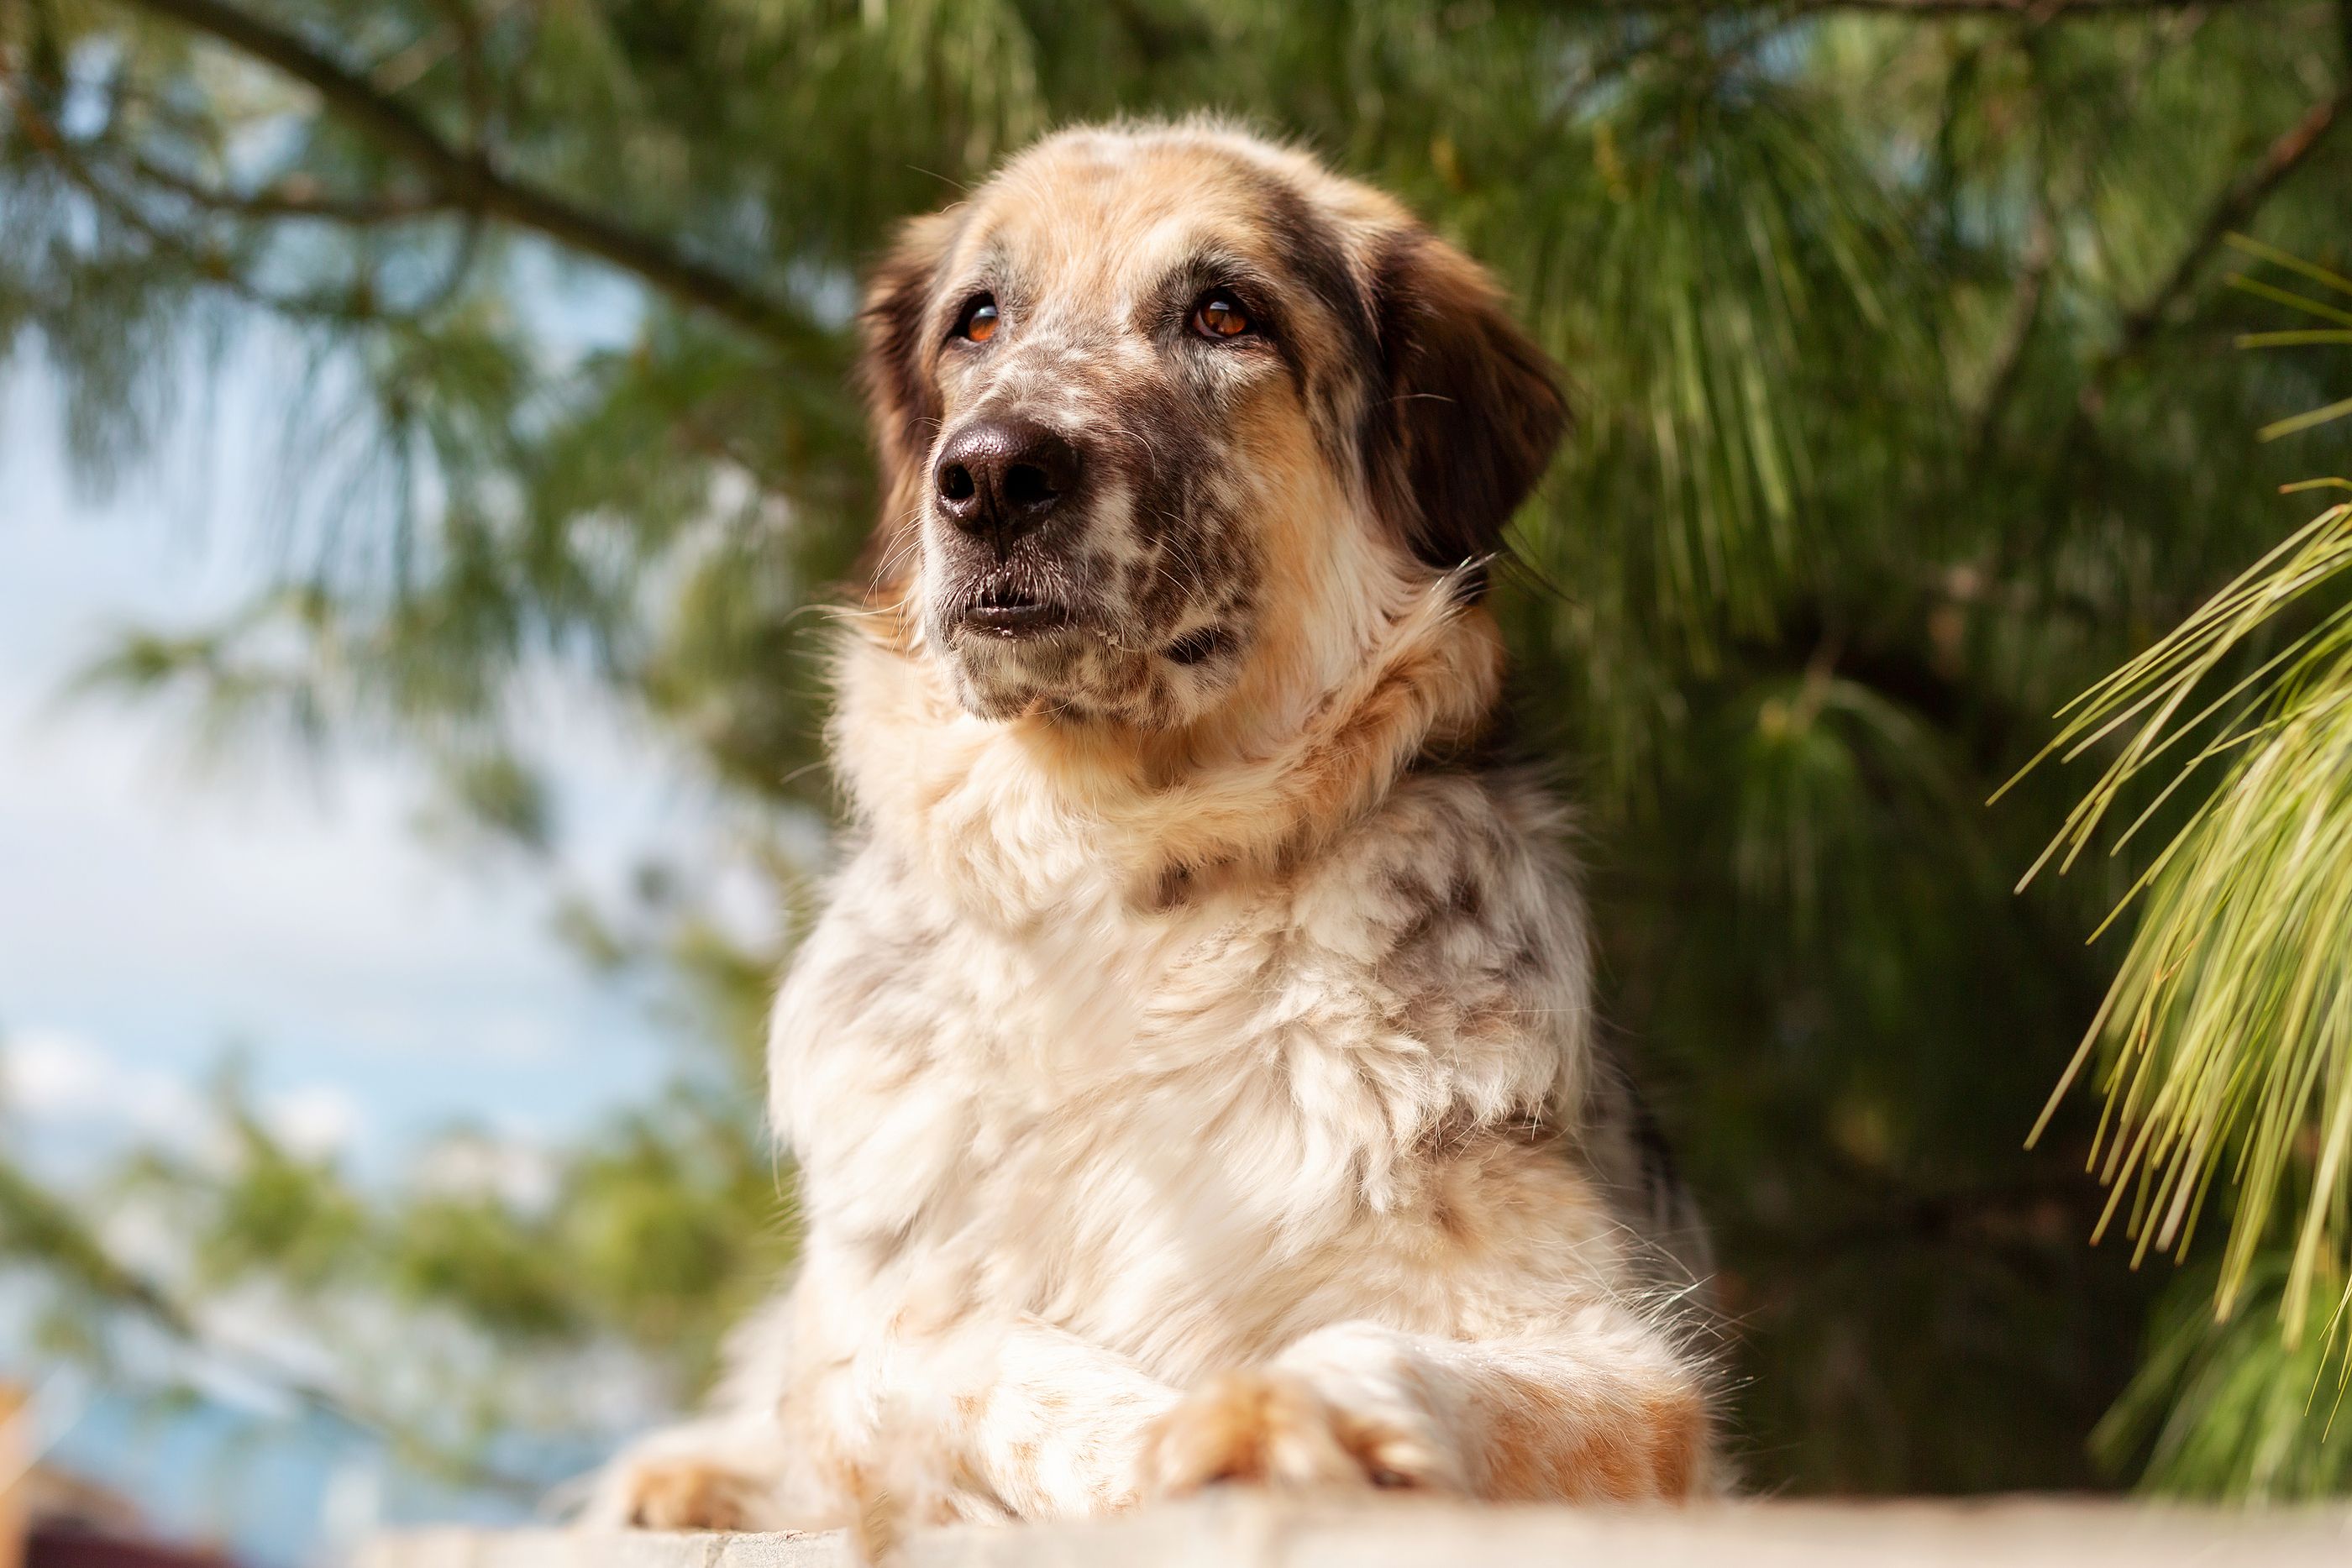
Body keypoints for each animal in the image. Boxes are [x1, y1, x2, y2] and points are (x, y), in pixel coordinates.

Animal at [583, 119, 1730, 1533]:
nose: (989, 476)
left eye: (1224, 313)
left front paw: (1290, 1416)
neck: (1128, 866)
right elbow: (956, 1353)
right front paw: (1145, 1434)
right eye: (978, 321)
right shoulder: (864, 1339)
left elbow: (1400, 1351)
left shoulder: (1628, 1372)